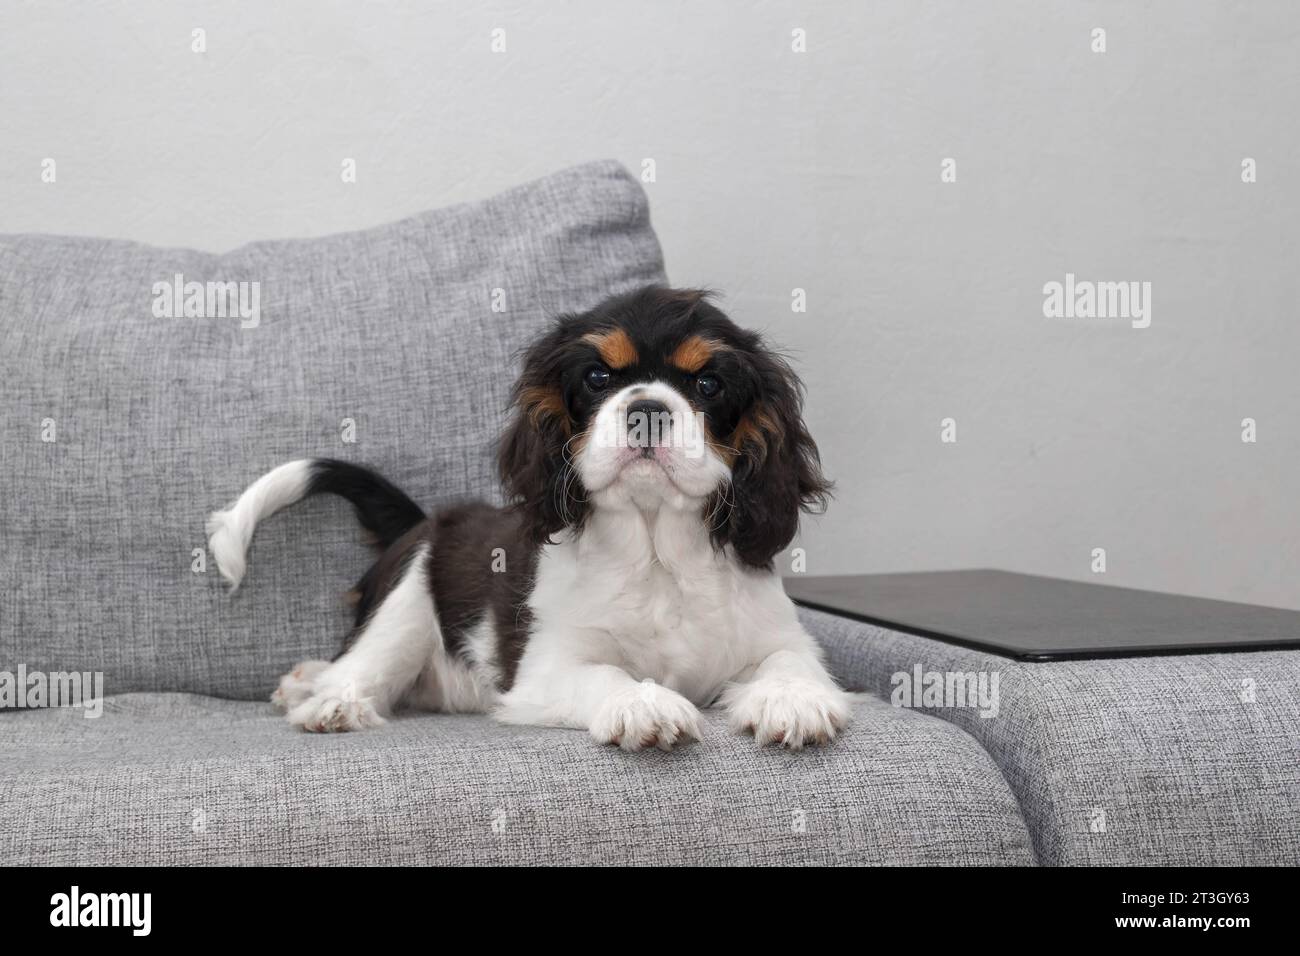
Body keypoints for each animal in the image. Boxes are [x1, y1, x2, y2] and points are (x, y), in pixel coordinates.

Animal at [205, 287, 852, 749]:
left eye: (709, 384)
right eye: (597, 378)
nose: (647, 409)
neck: (655, 550)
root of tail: (427, 519)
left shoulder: (777, 635)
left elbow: (791, 662)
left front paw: (792, 699)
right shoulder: (546, 667)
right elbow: (605, 675)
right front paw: (643, 704)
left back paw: (304, 681)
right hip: (410, 592)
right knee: (365, 659)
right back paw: (328, 701)